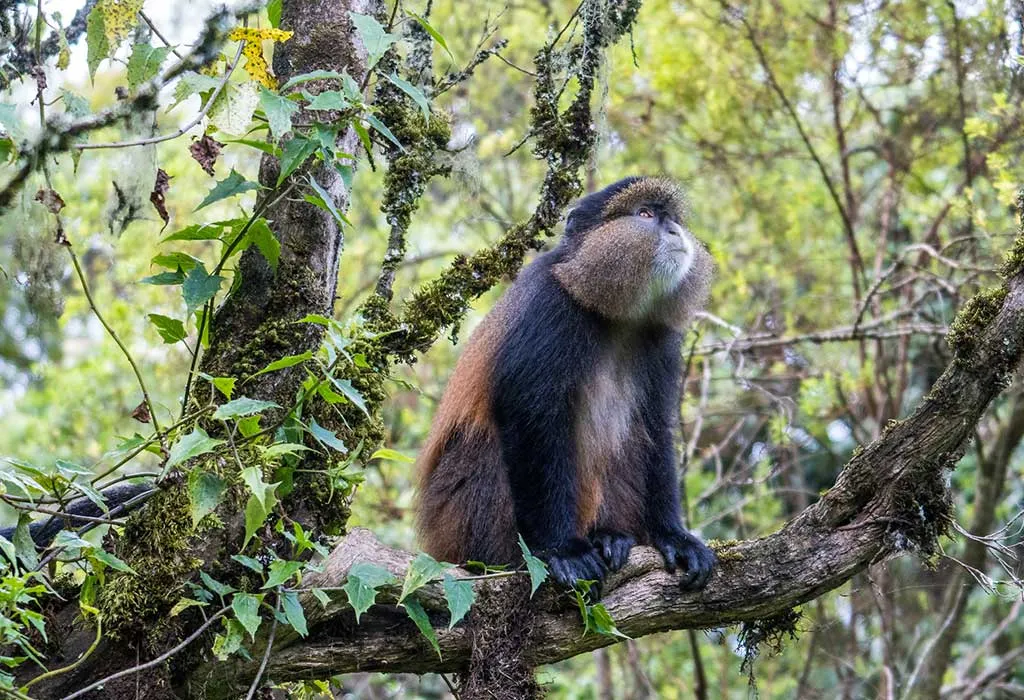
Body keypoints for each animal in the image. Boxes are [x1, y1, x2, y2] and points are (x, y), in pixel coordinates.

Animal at [411, 175, 716, 589]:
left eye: (671, 217)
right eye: (645, 214)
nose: (674, 231)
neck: (613, 315)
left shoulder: (661, 338)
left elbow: (654, 426)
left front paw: (672, 535)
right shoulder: (549, 307)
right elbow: (530, 415)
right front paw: (562, 550)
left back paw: (610, 536)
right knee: (483, 445)